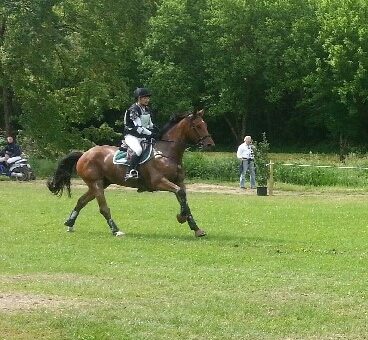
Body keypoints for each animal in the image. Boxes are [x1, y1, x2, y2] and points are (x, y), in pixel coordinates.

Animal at [49, 109, 216, 236]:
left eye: (205, 125)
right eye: (197, 126)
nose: (210, 145)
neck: (166, 153)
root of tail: (84, 154)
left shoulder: (179, 181)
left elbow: (183, 198)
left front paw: (196, 228)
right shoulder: (159, 182)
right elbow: (180, 194)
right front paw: (181, 217)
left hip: (100, 184)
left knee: (81, 201)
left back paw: (70, 223)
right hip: (96, 184)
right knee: (103, 208)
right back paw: (116, 230)